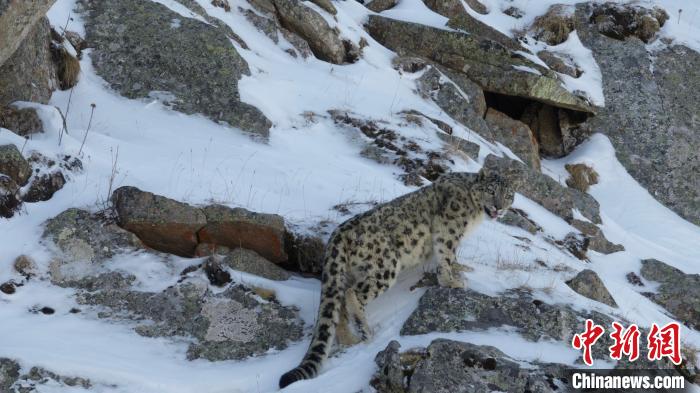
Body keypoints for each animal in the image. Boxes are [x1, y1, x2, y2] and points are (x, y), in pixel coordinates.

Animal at [278, 166, 516, 386]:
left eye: (508, 195)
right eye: (491, 190)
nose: (499, 207)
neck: (475, 214)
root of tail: (338, 234)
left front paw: (461, 269)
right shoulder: (449, 229)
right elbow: (446, 254)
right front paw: (452, 281)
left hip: (346, 274)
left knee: (339, 307)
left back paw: (350, 339)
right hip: (386, 265)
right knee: (352, 294)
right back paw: (365, 330)